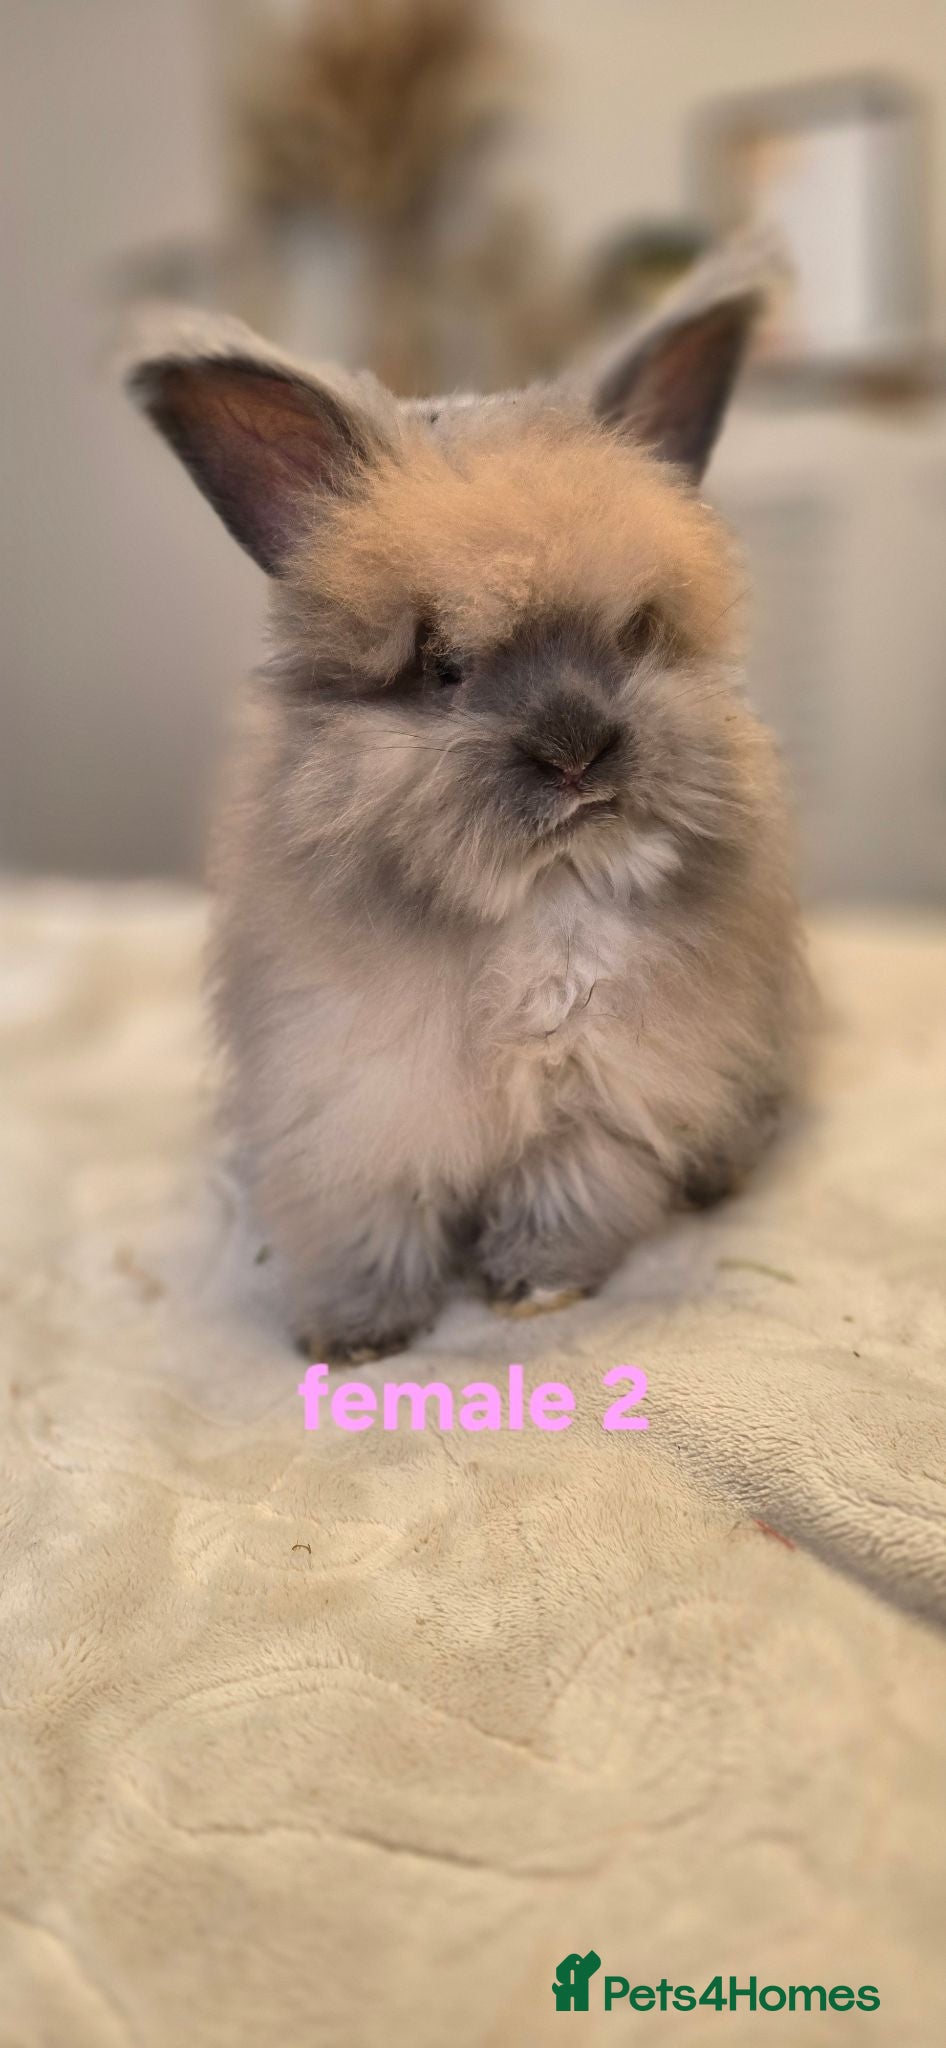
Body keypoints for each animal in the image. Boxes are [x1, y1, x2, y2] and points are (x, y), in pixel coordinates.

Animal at [126, 242, 811, 1363]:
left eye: (635, 636)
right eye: (443, 666)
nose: (578, 752)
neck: (539, 895)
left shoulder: (609, 1094)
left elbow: (566, 1198)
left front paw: (532, 1291)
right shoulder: (353, 1106)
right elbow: (370, 1227)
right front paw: (354, 1339)